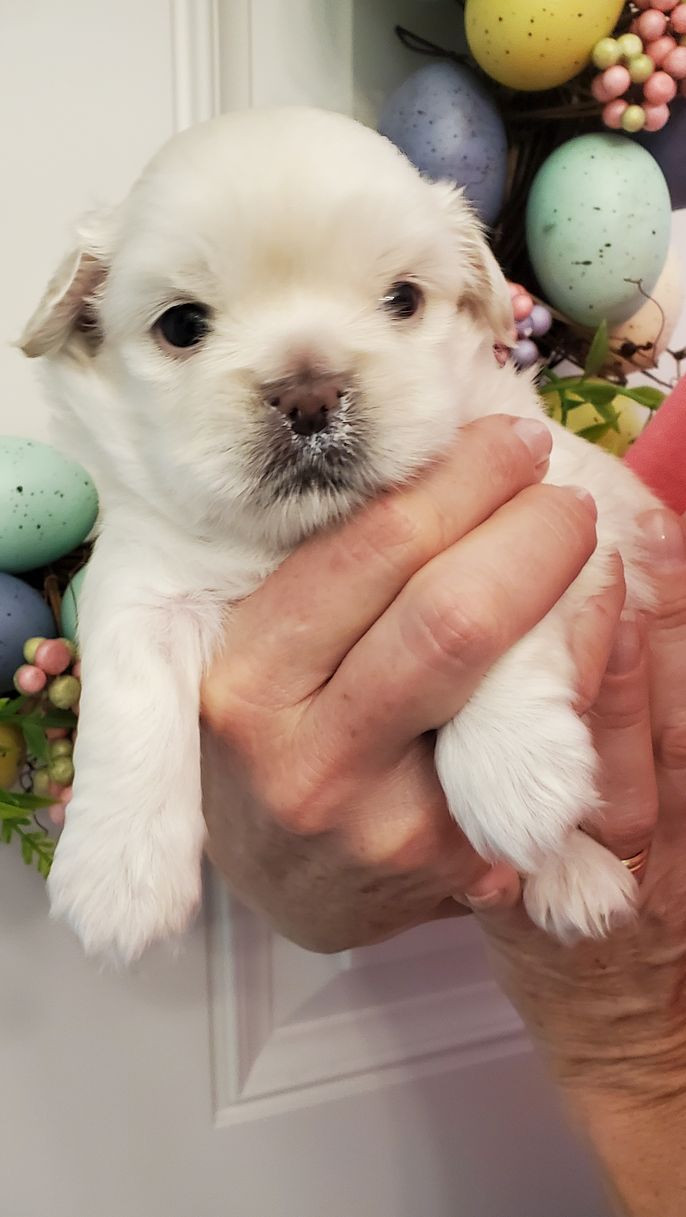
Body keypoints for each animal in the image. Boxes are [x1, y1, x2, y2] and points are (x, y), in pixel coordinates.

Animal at [20, 107, 659, 962]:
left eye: (403, 299)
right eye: (182, 325)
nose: (310, 393)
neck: (298, 536)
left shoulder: (550, 509)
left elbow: (501, 619)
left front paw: (517, 770)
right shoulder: (144, 575)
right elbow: (130, 696)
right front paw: (117, 874)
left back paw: (575, 871)